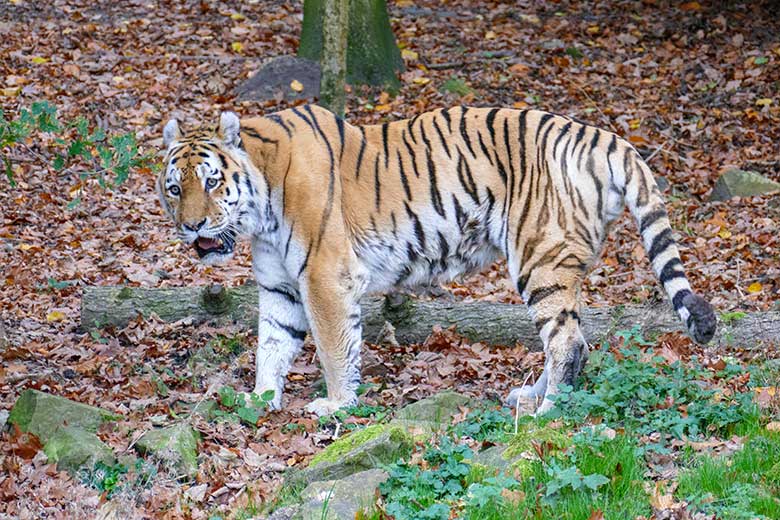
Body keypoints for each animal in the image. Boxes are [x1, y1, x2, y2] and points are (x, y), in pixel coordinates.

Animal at [160, 104, 720, 414]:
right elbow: (272, 345)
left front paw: (336, 405)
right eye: (174, 189)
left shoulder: (324, 276)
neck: (259, 213)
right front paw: (259, 400)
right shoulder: (280, 285)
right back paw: (530, 398)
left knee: (569, 343)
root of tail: (602, 135)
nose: (192, 226)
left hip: (538, 258)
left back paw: (547, 413)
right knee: (568, 338)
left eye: (213, 181)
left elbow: (334, 348)